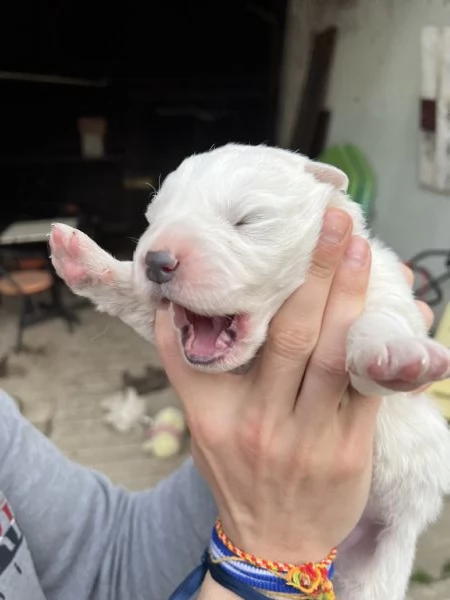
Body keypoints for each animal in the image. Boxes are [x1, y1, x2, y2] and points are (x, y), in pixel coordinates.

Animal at [48, 145, 450, 600]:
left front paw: (394, 354)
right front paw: (85, 260)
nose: (156, 260)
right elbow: (137, 299)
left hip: (377, 573)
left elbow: (378, 324)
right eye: (153, 220)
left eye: (246, 220)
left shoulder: (380, 290)